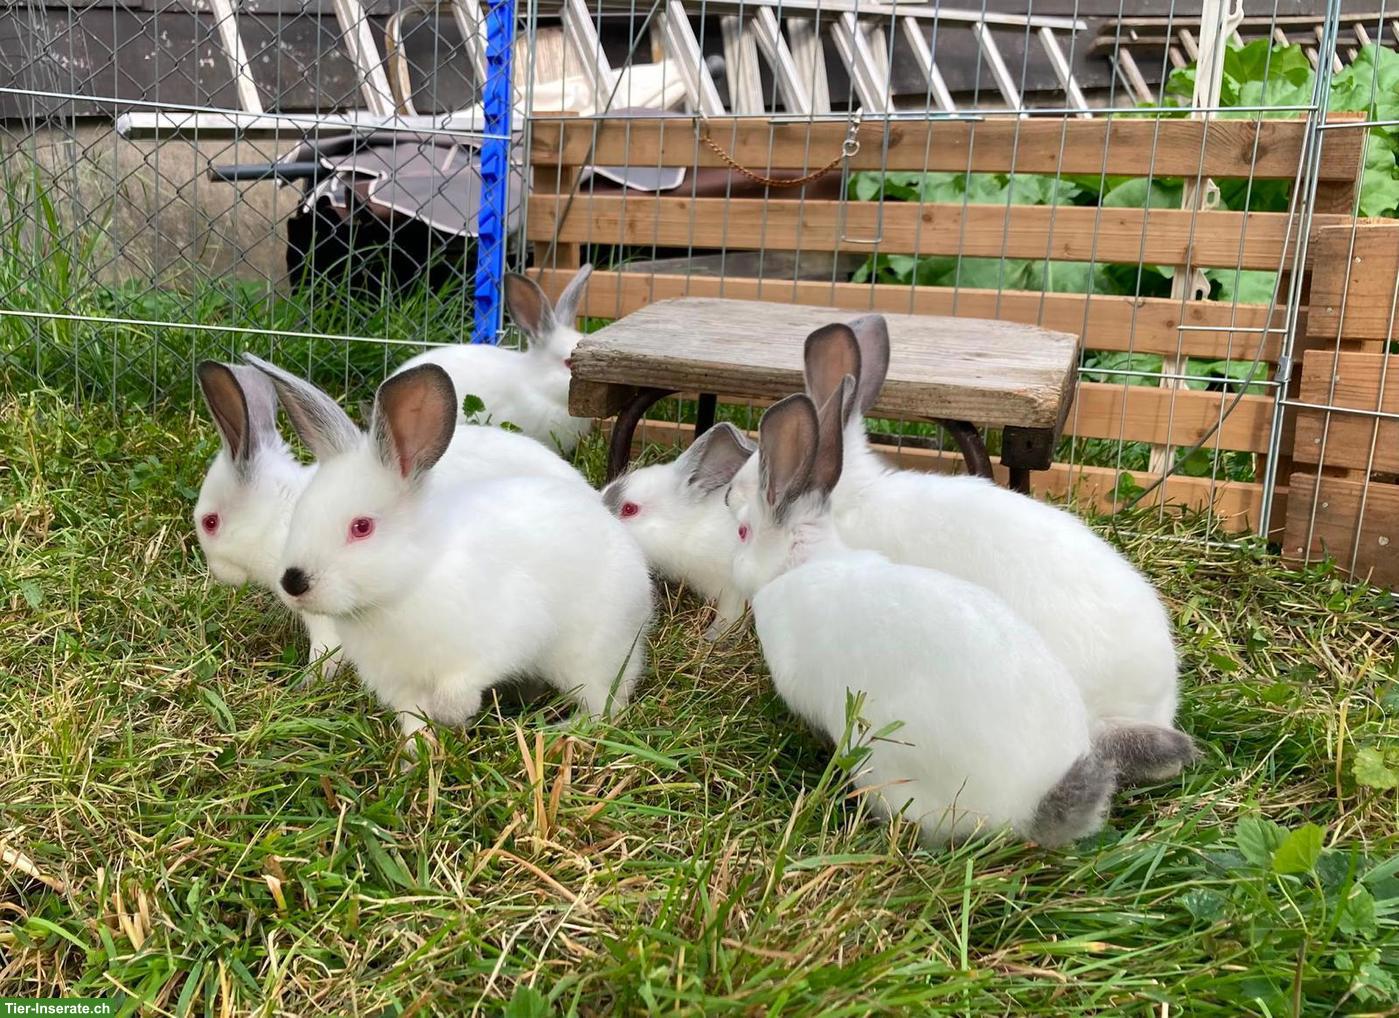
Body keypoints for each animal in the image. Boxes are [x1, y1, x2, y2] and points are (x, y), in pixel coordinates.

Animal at [251, 358, 655, 742]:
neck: (409, 583)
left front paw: (454, 715)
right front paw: (420, 750)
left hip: (591, 658)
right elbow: (413, 719)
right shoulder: (400, 685)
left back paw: (559, 730)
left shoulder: (499, 640)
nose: (293, 582)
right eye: (300, 511)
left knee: (606, 707)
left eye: (361, 527)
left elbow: (460, 685)